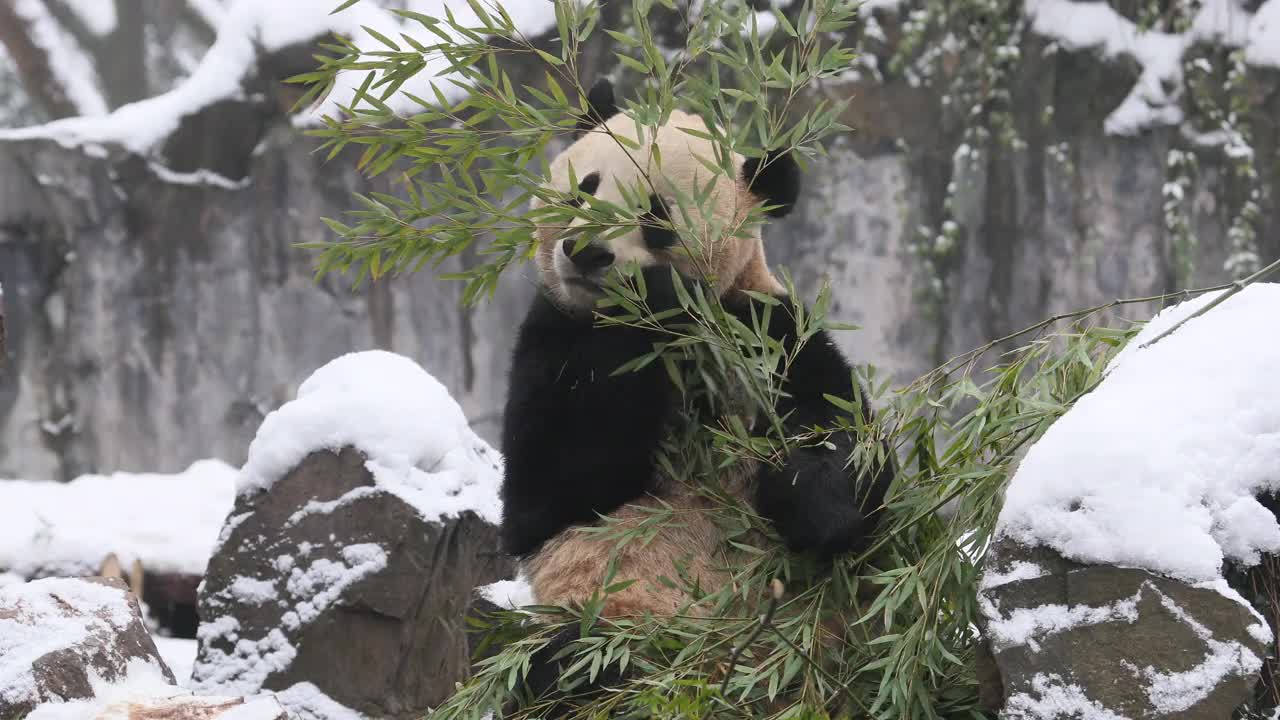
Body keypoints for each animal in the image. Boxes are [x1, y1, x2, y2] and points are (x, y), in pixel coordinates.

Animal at [494, 77, 896, 707]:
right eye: (585, 189)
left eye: (656, 213)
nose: (587, 253)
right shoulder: (551, 336)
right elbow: (550, 490)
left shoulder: (766, 331)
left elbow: (843, 437)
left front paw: (818, 512)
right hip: (615, 625)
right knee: (568, 668)